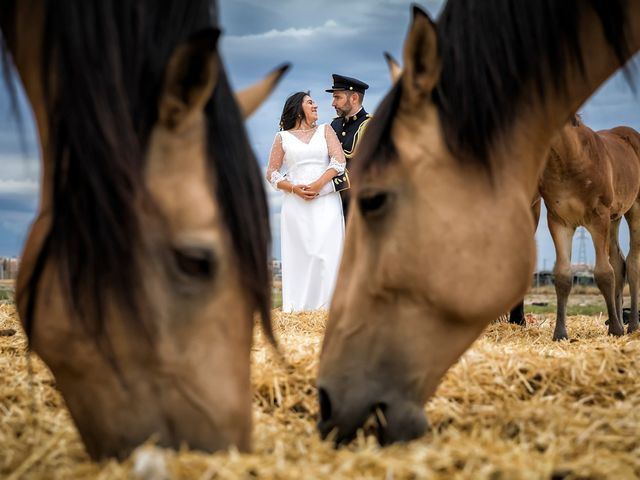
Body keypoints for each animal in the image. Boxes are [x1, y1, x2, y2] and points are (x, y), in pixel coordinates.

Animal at [540, 116, 640, 342]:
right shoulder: (559, 221)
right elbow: (562, 276)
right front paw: (560, 334)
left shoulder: (598, 218)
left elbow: (604, 273)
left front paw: (616, 329)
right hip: (614, 217)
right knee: (618, 263)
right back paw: (619, 320)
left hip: (634, 210)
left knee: (632, 264)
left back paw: (631, 326)